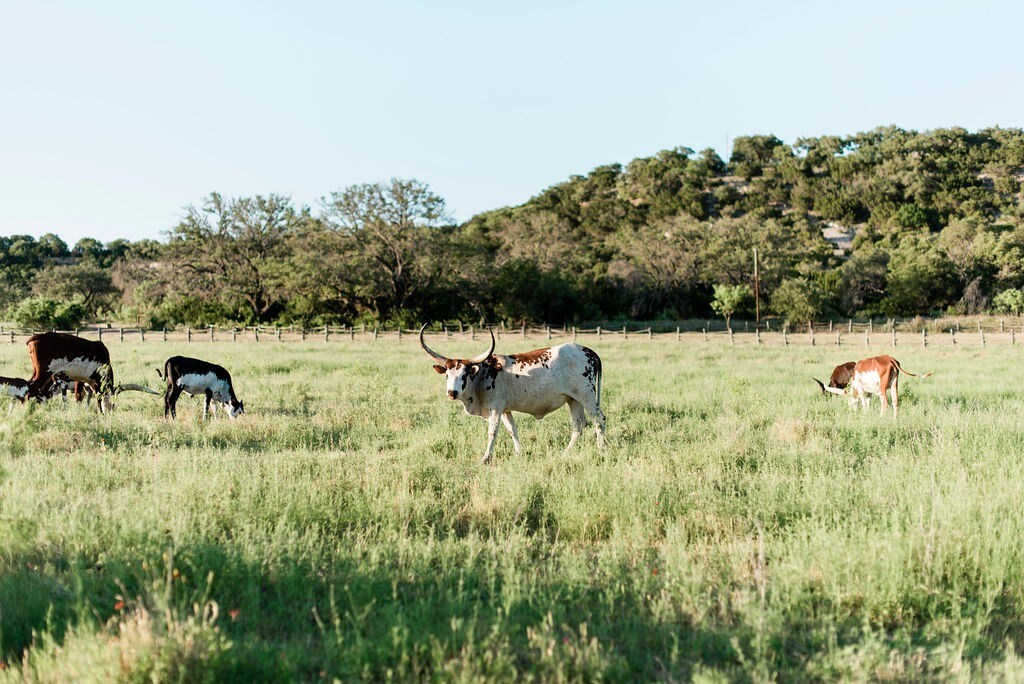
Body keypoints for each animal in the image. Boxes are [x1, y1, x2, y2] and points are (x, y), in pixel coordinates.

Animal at [25, 331, 158, 411]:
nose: (108, 412)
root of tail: (37, 336)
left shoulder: (86, 380)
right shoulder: (88, 381)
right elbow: (88, 396)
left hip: (37, 372)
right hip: (44, 373)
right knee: (32, 390)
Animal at [417, 321, 602, 462]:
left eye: (464, 375)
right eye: (447, 375)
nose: (452, 393)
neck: (482, 375)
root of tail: (589, 351)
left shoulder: (495, 409)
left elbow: (492, 432)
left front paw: (486, 458)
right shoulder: (505, 410)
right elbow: (513, 430)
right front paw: (519, 453)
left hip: (588, 397)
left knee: (599, 420)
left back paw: (602, 449)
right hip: (573, 400)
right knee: (578, 426)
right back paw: (566, 453)